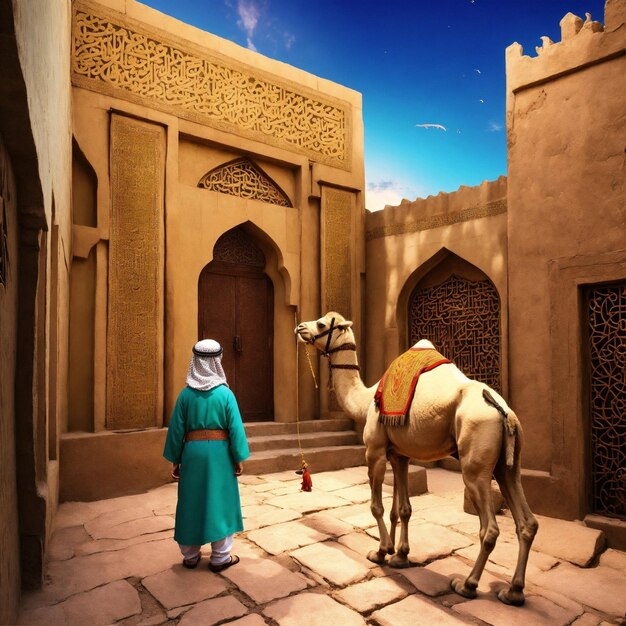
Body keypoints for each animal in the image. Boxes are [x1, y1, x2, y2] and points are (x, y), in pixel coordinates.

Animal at [296, 312, 536, 604]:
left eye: (321, 324)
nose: (300, 327)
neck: (367, 398)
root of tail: (505, 412)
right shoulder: (400, 455)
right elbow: (402, 510)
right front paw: (400, 555)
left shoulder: (375, 450)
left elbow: (377, 506)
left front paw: (381, 551)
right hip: (509, 464)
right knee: (527, 522)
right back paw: (513, 591)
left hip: (475, 463)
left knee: (489, 527)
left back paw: (467, 584)